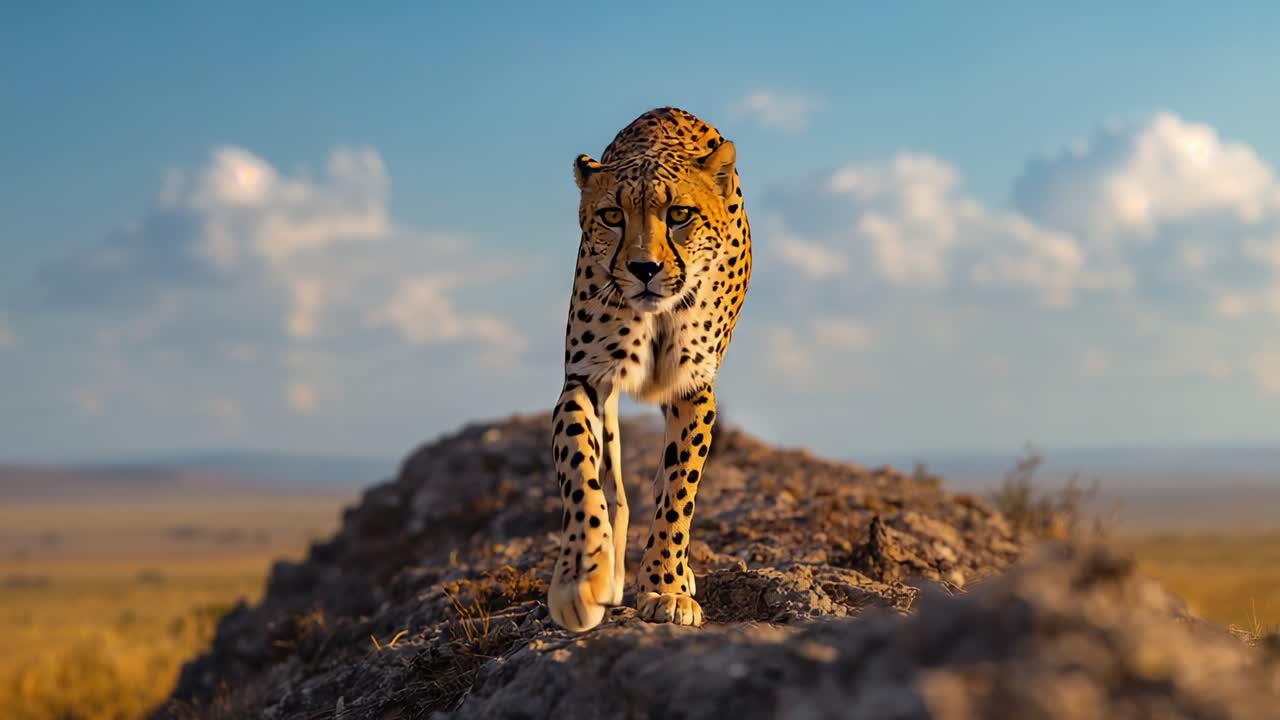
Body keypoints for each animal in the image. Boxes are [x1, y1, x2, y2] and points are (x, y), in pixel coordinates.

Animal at [547, 106, 752, 632]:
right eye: (611, 216)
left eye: (679, 215)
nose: (644, 269)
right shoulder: (587, 377)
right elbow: (582, 474)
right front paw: (581, 576)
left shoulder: (692, 388)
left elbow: (679, 490)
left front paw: (665, 586)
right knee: (615, 482)